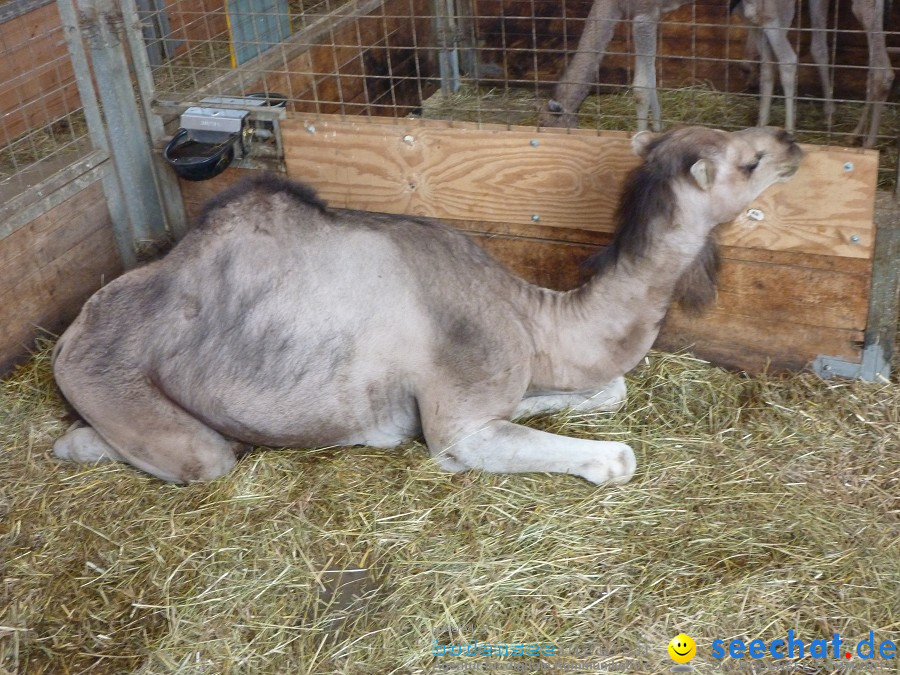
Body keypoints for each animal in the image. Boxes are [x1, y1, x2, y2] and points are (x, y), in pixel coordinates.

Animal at [52, 125, 800, 486]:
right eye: (749, 162)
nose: (793, 143)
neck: (533, 317)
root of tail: (72, 330)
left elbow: (606, 388)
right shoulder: (461, 420)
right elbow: (615, 458)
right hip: (103, 375)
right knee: (199, 456)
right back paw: (76, 440)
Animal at [536, 0, 692, 130]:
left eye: (548, 125)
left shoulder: (644, 15)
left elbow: (640, 88)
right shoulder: (653, 14)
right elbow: (651, 79)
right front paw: (658, 129)